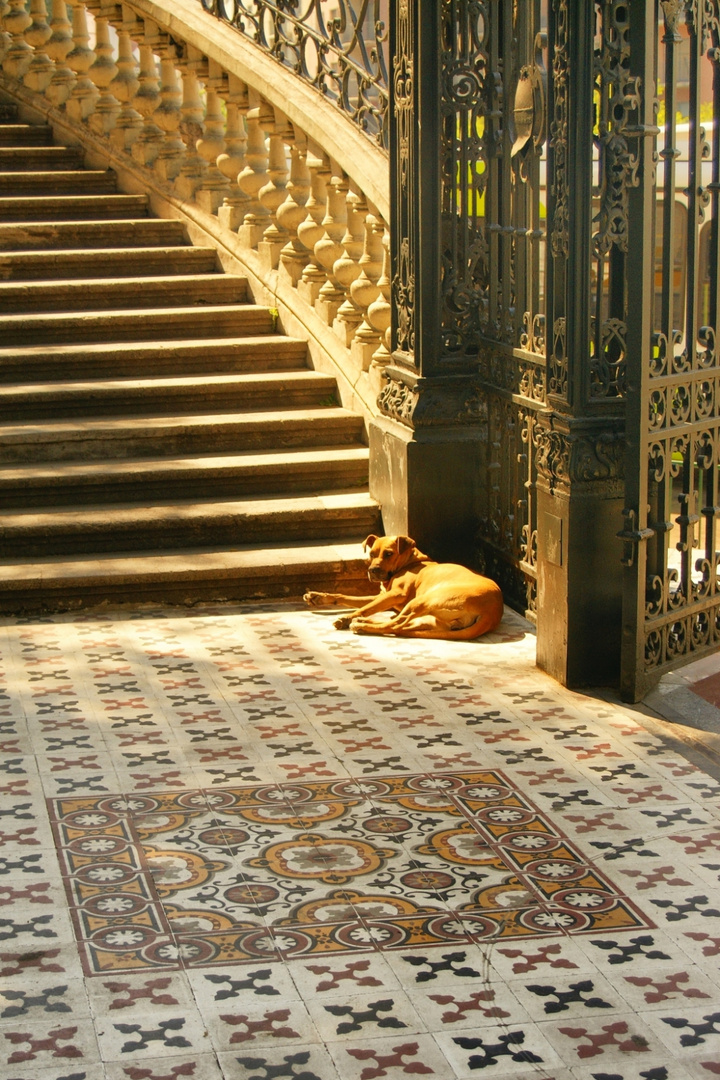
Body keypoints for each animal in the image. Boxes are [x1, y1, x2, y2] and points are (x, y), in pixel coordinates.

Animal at [306, 533, 505, 635]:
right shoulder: (382, 596)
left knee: (394, 626)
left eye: (388, 554)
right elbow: (347, 597)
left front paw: (345, 618)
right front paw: (318, 596)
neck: (411, 562)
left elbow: (364, 607)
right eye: (371, 554)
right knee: (402, 625)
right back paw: (364, 622)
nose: (372, 570)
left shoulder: (394, 595)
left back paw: (361, 625)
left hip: (422, 601)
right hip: (434, 619)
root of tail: (493, 613)